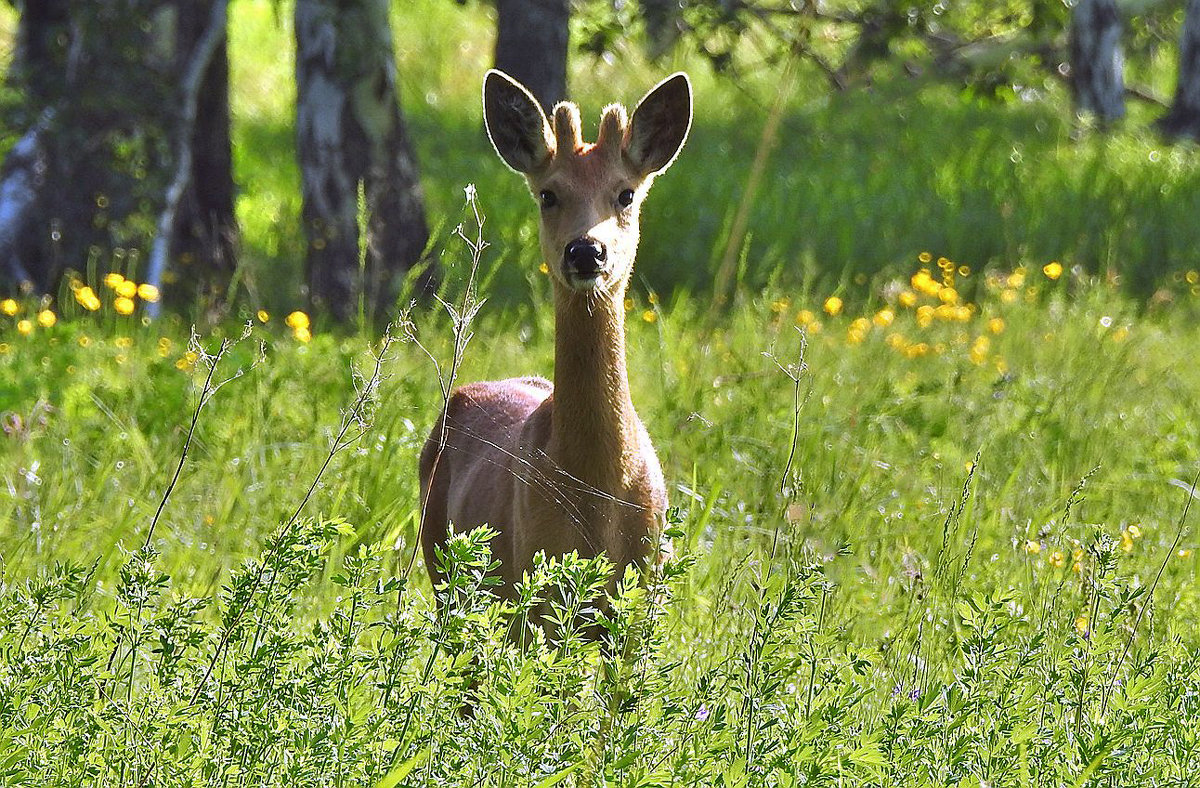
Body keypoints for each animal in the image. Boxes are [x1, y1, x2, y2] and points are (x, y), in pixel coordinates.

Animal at [417, 67, 691, 611]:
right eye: (548, 194)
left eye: (626, 193)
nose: (586, 250)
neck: (594, 489)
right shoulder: (533, 582)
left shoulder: (644, 588)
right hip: (444, 563)